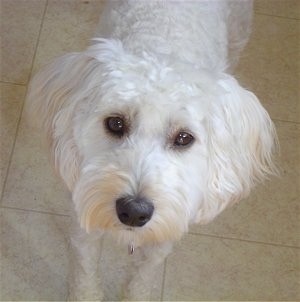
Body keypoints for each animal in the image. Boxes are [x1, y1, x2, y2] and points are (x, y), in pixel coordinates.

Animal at [27, 1, 278, 300]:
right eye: (115, 123)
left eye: (184, 138)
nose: (134, 212)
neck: (161, 42)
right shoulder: (84, 211)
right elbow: (85, 271)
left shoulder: (168, 227)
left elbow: (142, 277)